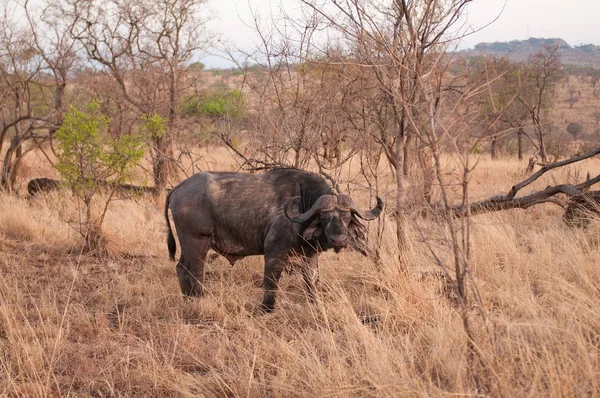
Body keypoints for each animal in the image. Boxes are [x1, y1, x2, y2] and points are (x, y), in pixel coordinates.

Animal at [163, 168, 384, 310]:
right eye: (324, 217)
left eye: (347, 218)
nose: (339, 240)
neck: (302, 204)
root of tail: (180, 187)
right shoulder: (274, 255)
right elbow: (271, 284)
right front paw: (266, 309)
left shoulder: (310, 257)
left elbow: (312, 283)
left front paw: (315, 305)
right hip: (197, 243)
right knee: (194, 273)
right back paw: (199, 300)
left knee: (181, 269)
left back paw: (188, 300)